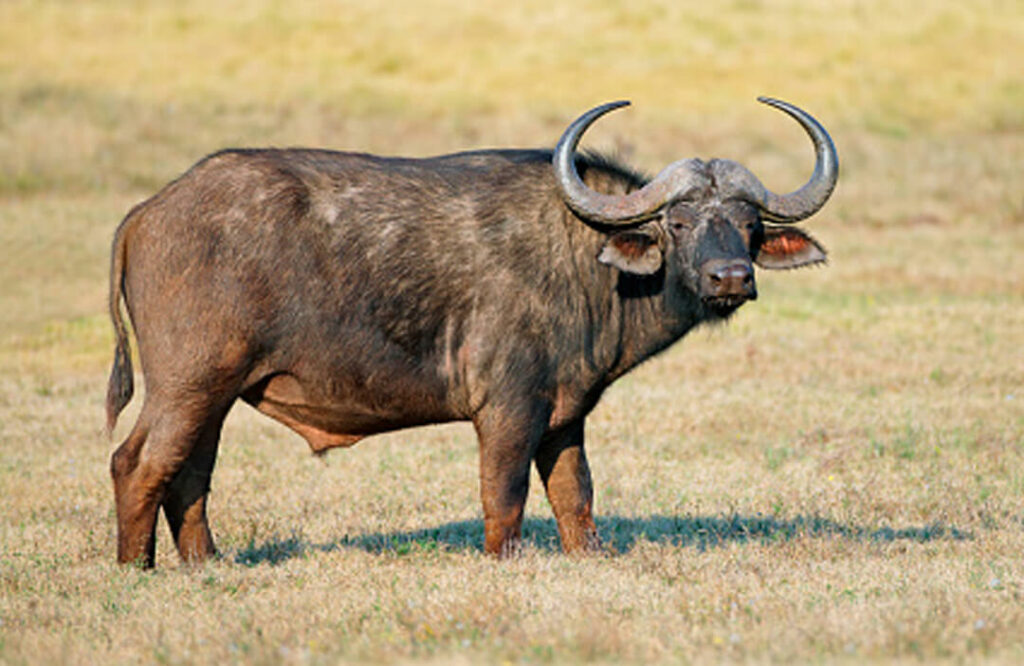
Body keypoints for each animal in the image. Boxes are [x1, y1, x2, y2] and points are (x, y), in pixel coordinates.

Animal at [106, 97, 837, 566]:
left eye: (748, 224)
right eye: (678, 223)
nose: (730, 277)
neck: (582, 256)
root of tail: (149, 210)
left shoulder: (566, 414)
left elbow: (576, 495)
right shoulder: (508, 410)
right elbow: (505, 495)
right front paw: (502, 560)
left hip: (216, 395)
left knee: (190, 472)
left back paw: (206, 563)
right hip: (188, 383)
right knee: (138, 463)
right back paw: (135, 568)